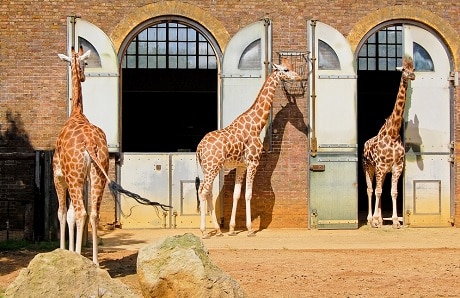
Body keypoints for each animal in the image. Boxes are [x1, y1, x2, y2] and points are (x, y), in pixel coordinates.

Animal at [195, 58, 300, 239]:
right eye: (286, 70)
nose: (299, 77)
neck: (256, 125)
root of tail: (199, 148)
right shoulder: (253, 162)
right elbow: (249, 194)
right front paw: (250, 229)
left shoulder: (241, 165)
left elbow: (237, 195)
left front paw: (231, 229)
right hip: (212, 167)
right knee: (203, 191)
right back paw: (203, 231)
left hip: (208, 168)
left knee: (208, 192)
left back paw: (218, 230)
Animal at [362, 56, 416, 228]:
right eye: (404, 70)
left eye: (413, 69)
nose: (412, 76)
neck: (393, 133)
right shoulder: (379, 166)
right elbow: (377, 191)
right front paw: (375, 220)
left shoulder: (396, 167)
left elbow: (393, 192)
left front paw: (395, 221)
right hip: (368, 167)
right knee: (370, 189)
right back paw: (370, 219)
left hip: (384, 171)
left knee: (379, 189)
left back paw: (379, 219)